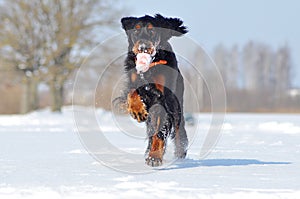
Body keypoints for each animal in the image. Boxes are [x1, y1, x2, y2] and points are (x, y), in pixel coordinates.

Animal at [120, 14, 188, 166]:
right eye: (136, 30)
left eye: (152, 31)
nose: (143, 47)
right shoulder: (134, 81)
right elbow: (131, 92)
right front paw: (137, 111)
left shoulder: (165, 98)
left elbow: (160, 131)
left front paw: (154, 157)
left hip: (177, 103)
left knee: (179, 129)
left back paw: (181, 153)